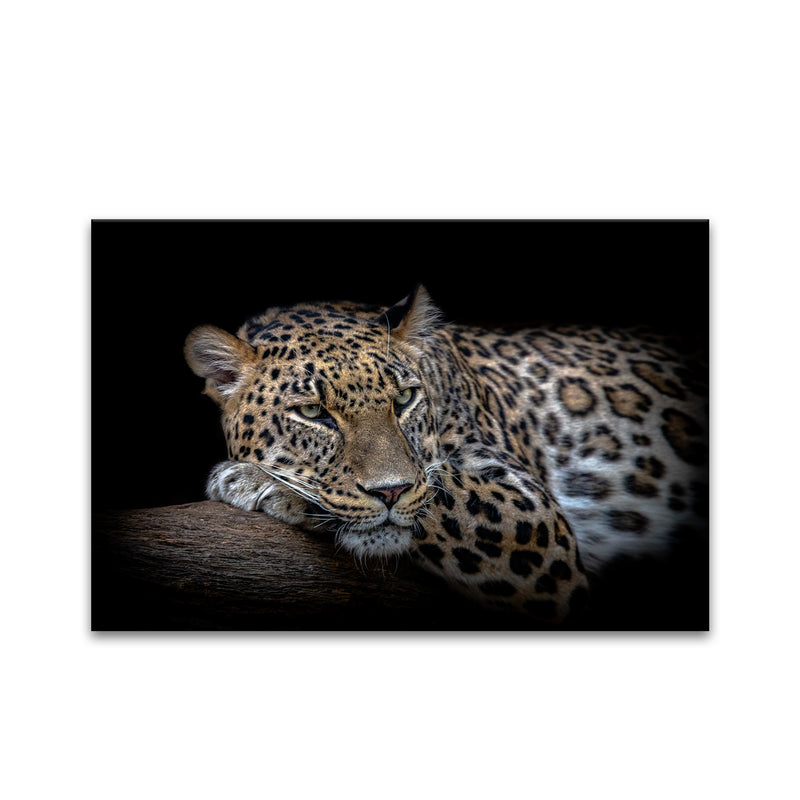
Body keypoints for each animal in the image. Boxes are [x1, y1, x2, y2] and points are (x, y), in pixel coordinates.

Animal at [184, 286, 708, 626]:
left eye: (404, 398)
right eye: (313, 412)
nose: (390, 492)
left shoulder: (534, 518)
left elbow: (440, 490)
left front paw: (259, 482)